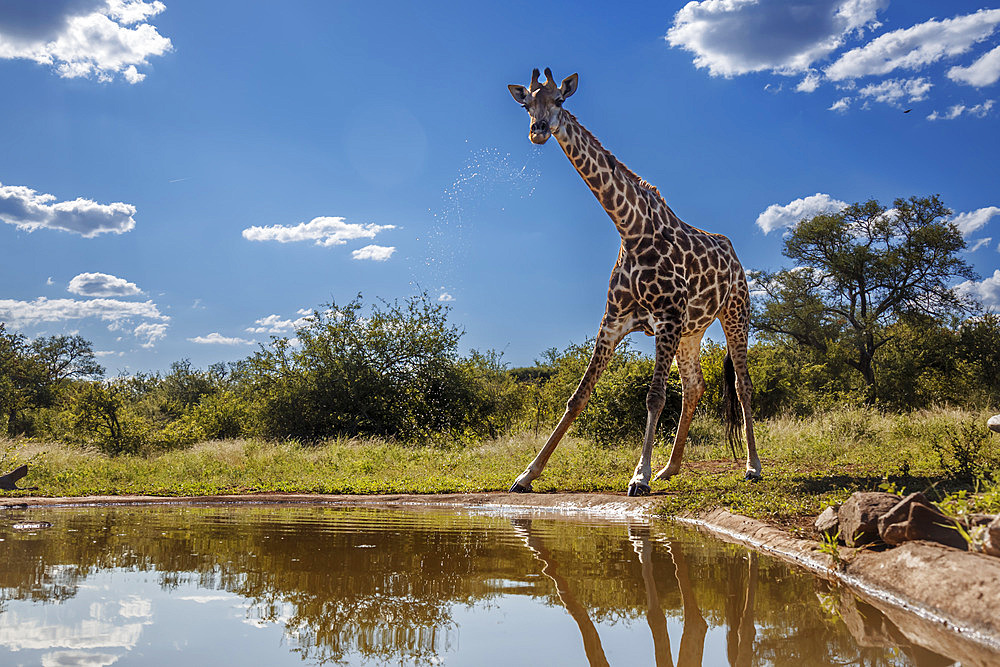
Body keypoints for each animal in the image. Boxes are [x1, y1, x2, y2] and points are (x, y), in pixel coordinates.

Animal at [508, 68, 756, 496]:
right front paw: (527, 474)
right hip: (692, 330)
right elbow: (578, 396)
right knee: (695, 386)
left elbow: (654, 397)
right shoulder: (614, 321)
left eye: (559, 100)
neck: (632, 229)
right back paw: (670, 469)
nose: (538, 131)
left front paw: (638, 477)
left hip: (734, 312)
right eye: (527, 104)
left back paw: (752, 466)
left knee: (742, 384)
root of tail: (735, 257)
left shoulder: (667, 318)